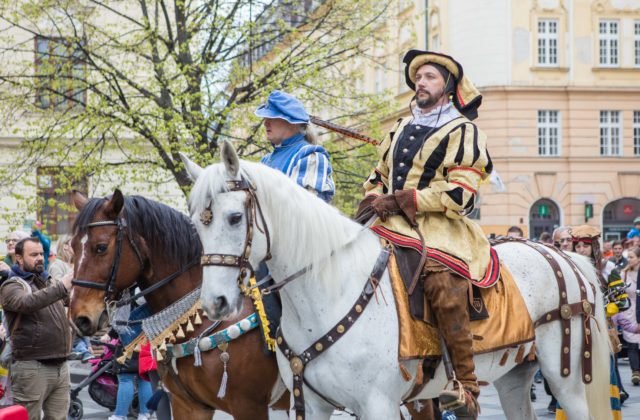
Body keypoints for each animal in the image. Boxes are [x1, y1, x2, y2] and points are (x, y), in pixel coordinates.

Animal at [180, 143, 608, 418]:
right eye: (195, 223)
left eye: (235, 217)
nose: (215, 303)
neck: (330, 291)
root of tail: (563, 255)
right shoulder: (313, 405)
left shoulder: (377, 404)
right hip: (514, 378)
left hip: (566, 382)